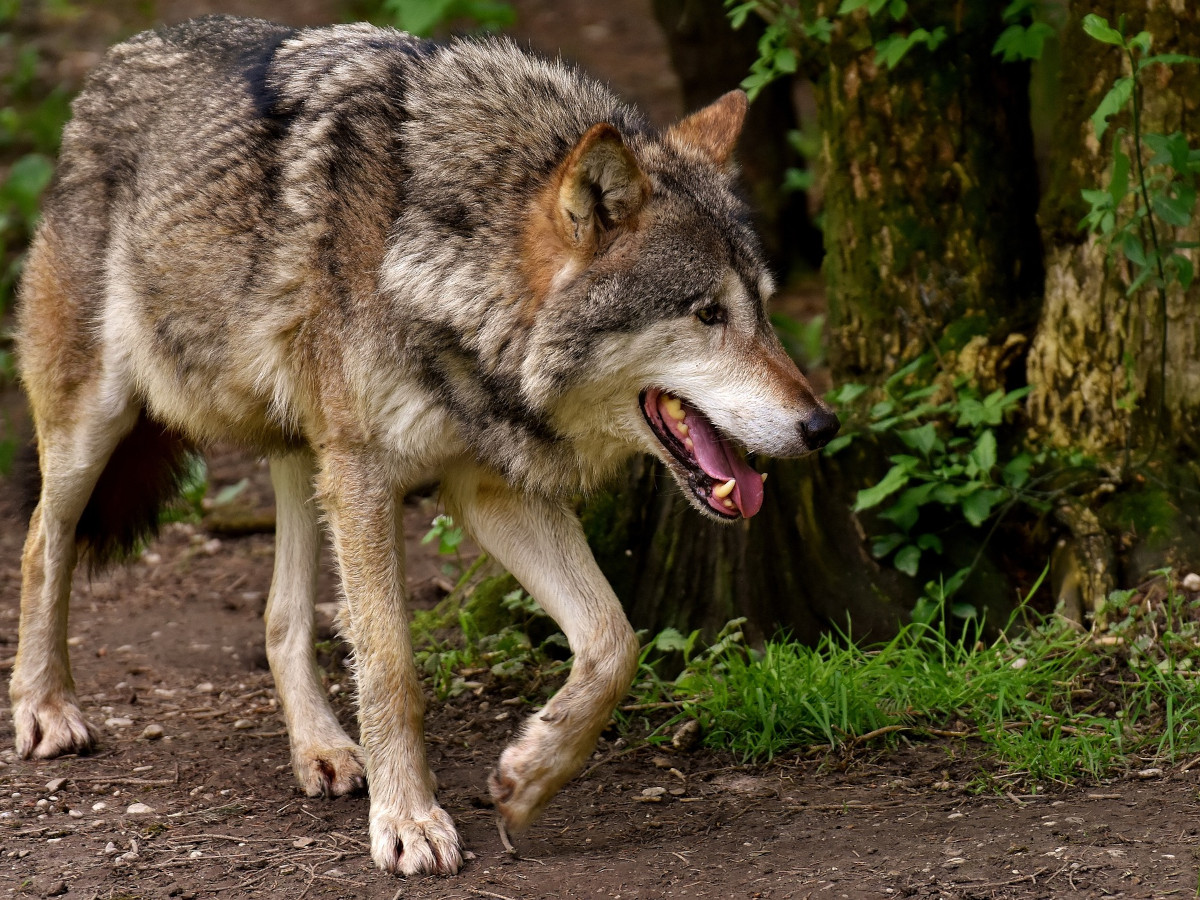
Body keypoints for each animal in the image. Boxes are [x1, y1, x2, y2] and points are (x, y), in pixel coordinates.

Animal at [9, 17, 840, 878]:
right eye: (708, 313)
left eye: (765, 310)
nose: (822, 426)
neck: (447, 265)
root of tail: (118, 57)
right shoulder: (369, 479)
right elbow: (392, 667)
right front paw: (407, 820)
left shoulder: (487, 489)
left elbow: (615, 642)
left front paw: (529, 777)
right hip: (99, 424)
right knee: (42, 542)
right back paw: (44, 709)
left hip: (305, 454)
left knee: (280, 616)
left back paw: (324, 750)